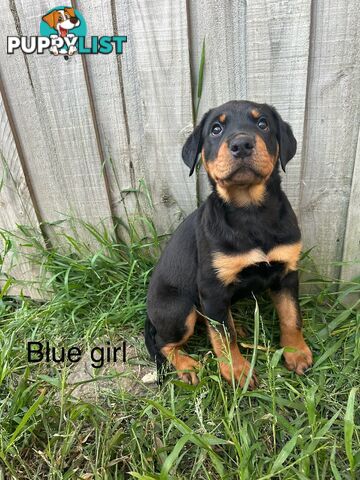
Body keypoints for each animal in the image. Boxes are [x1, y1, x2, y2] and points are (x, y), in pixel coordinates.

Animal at [145, 99, 310, 388]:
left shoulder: (287, 272)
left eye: (263, 124)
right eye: (216, 129)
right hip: (180, 308)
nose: (242, 144)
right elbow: (224, 336)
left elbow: (292, 317)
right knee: (164, 341)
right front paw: (237, 370)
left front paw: (296, 352)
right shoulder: (212, 287)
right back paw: (187, 366)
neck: (251, 212)